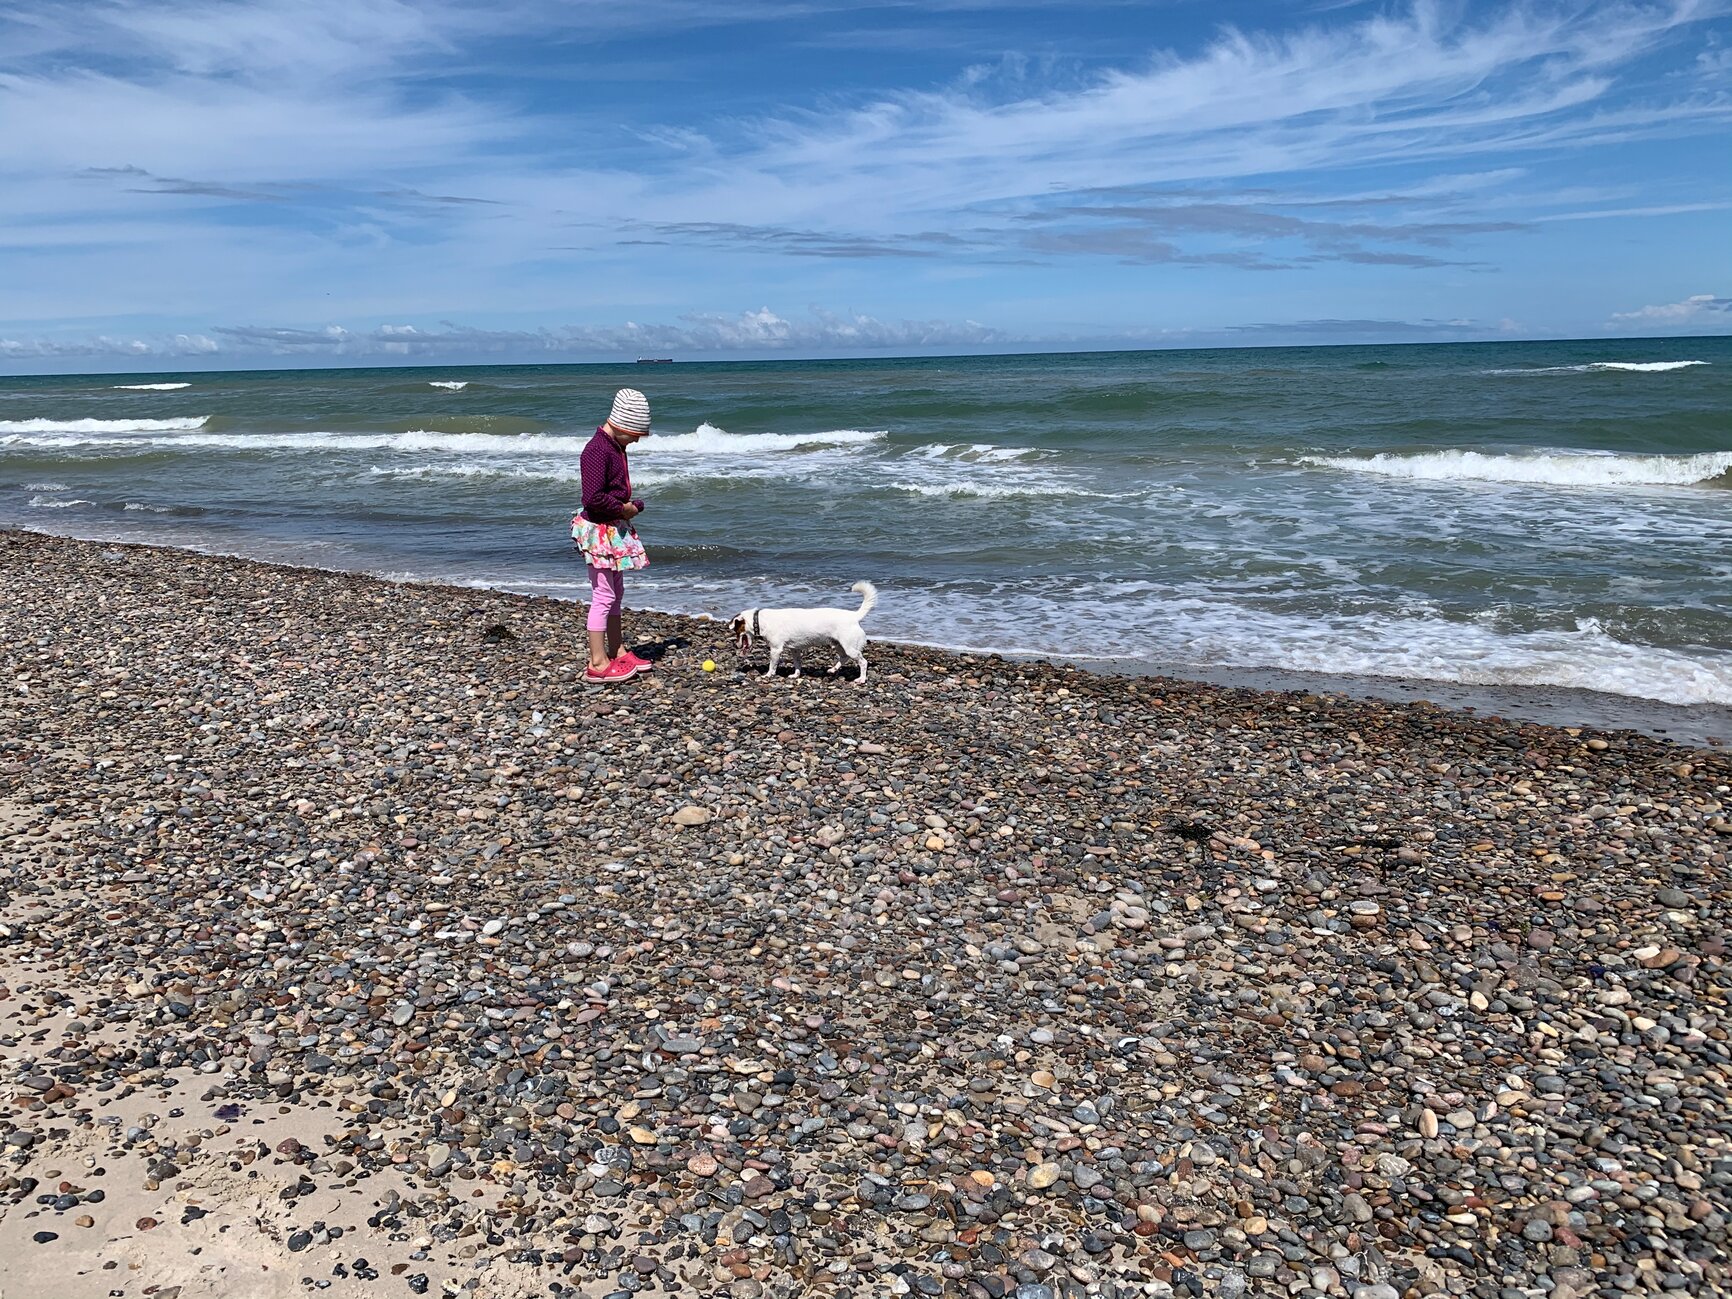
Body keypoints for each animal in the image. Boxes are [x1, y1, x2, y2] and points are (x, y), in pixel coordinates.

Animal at [729, 582, 876, 682]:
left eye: (736, 631)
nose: (736, 645)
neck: (760, 620)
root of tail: (854, 616)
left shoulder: (776, 649)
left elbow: (772, 665)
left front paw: (768, 674)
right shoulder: (795, 649)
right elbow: (797, 663)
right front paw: (796, 675)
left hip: (849, 646)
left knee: (863, 662)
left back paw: (861, 679)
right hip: (837, 645)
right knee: (844, 658)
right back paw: (833, 669)